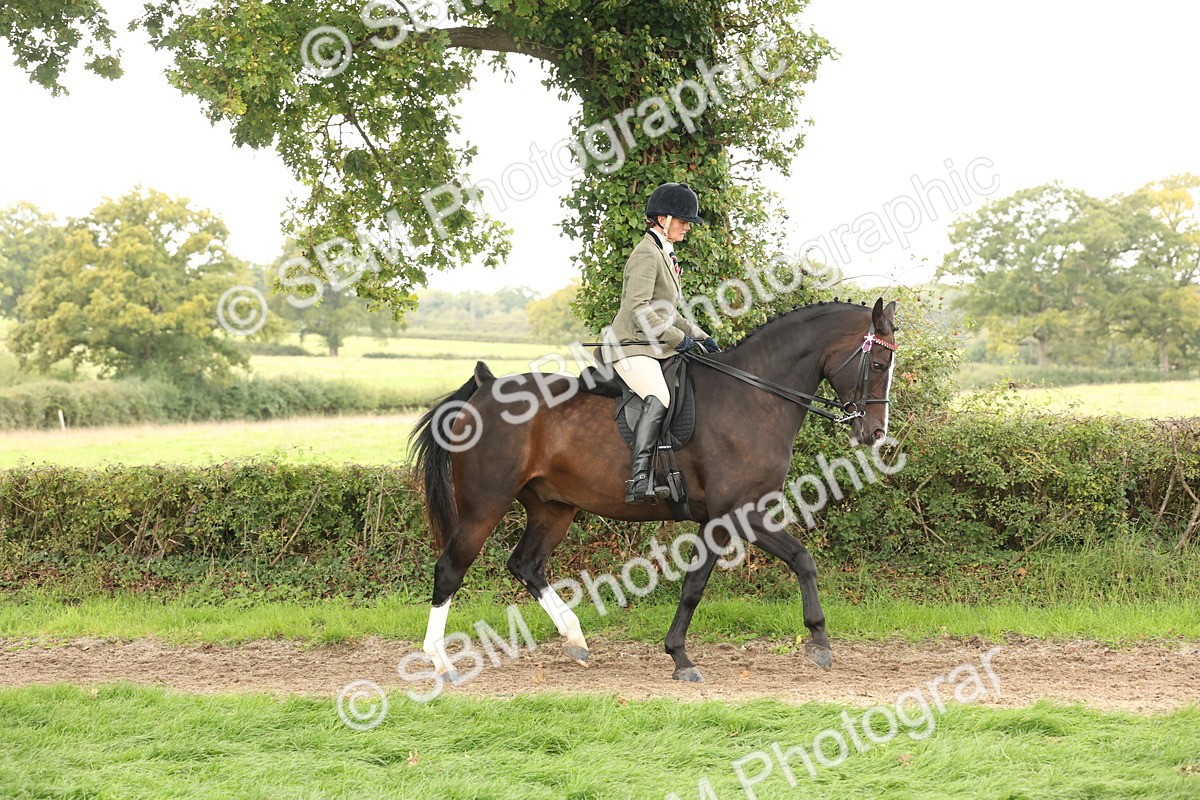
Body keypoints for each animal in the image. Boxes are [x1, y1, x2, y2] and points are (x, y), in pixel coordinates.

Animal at [411, 298, 898, 682]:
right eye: (877, 364)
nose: (874, 433)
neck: (753, 397)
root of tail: (485, 387)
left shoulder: (720, 518)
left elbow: (703, 582)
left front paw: (680, 655)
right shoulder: (739, 512)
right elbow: (792, 562)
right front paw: (816, 641)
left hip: (553, 507)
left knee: (525, 564)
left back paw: (575, 639)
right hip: (484, 506)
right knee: (450, 569)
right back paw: (441, 663)